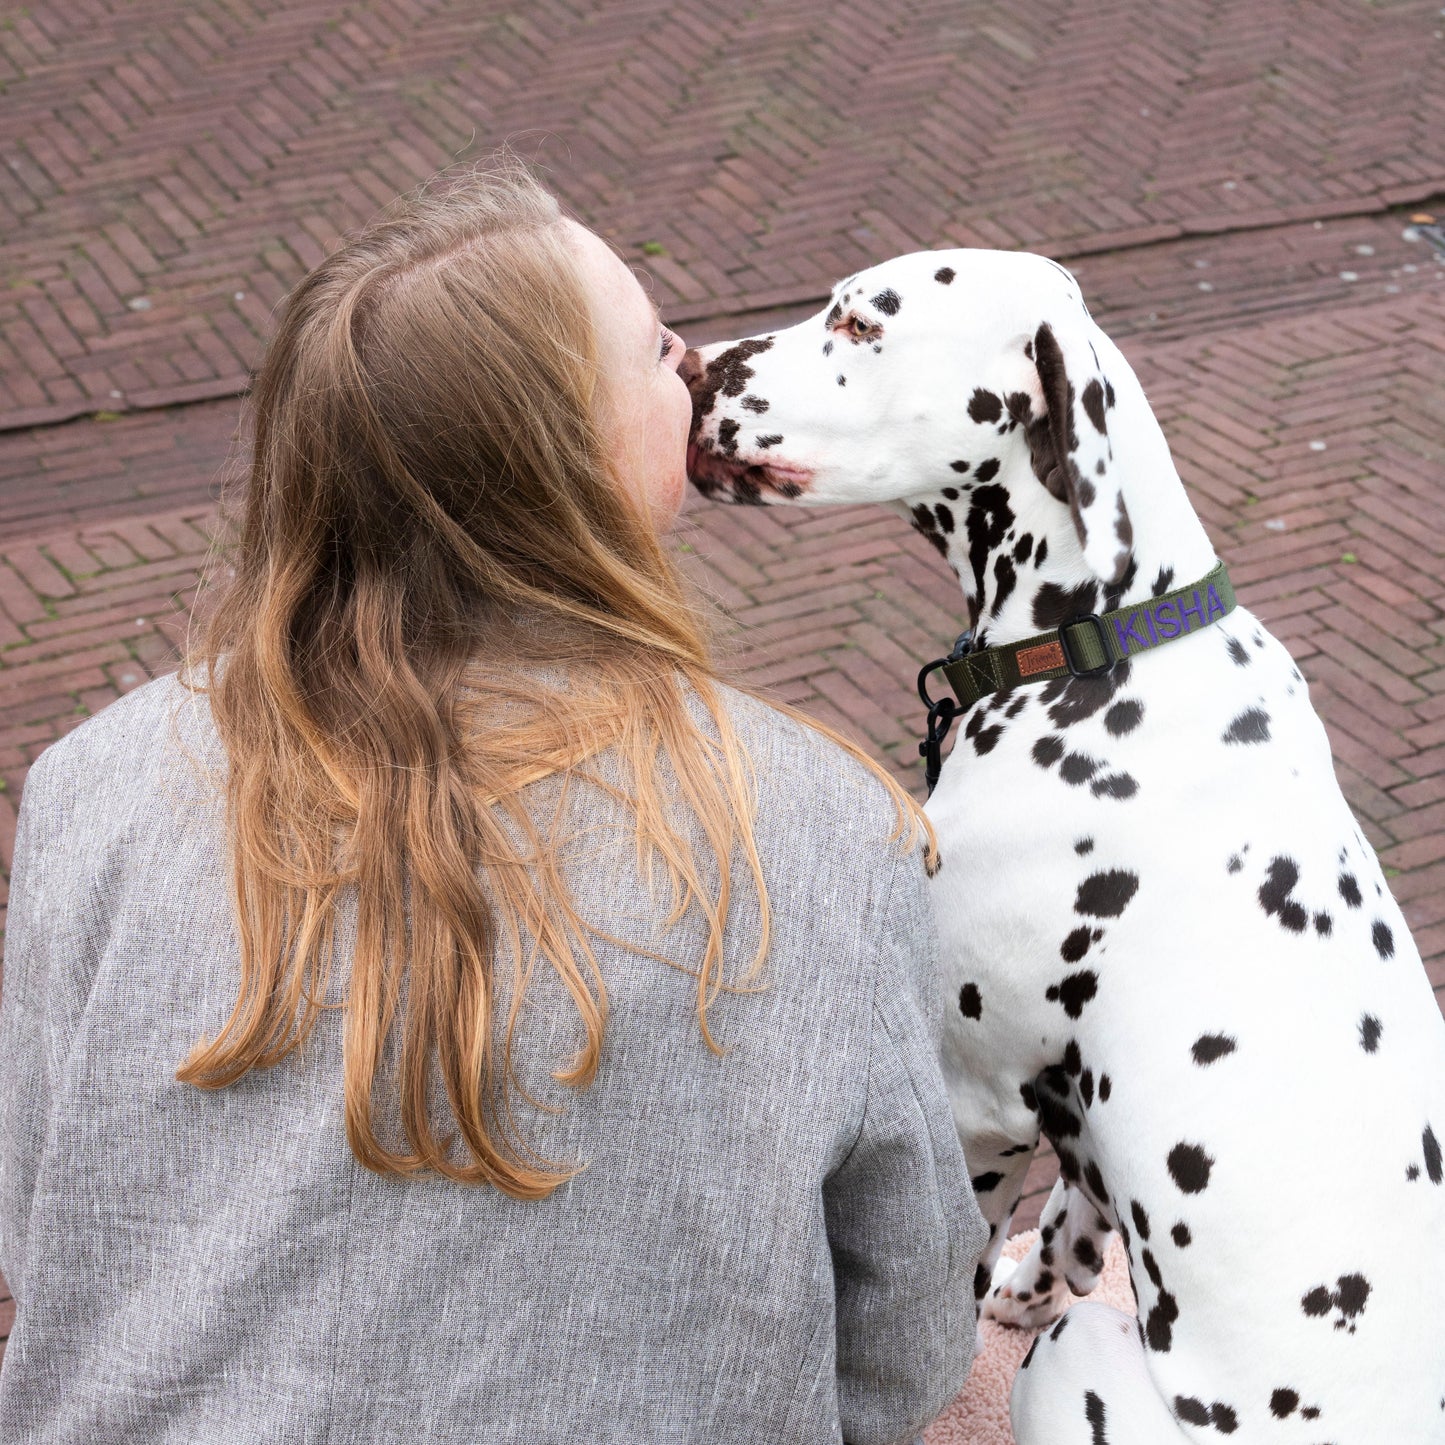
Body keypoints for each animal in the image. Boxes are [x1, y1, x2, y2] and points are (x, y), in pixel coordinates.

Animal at [682, 248, 1445, 1445]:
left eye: (859, 323)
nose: (685, 362)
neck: (1103, 645)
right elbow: (1072, 1204)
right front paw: (1040, 1271)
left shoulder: (975, 1097)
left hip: (1077, 1358)